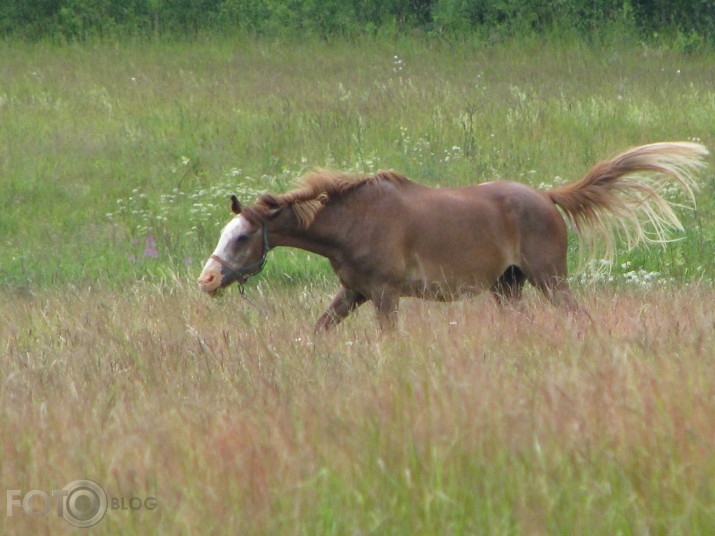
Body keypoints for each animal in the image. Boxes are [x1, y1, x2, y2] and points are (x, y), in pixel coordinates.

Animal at [199, 141, 708, 330]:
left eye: (242, 237)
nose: (206, 279)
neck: (352, 223)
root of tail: (546, 197)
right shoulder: (353, 293)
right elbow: (318, 330)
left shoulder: (384, 295)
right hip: (508, 287)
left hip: (550, 279)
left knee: (578, 317)